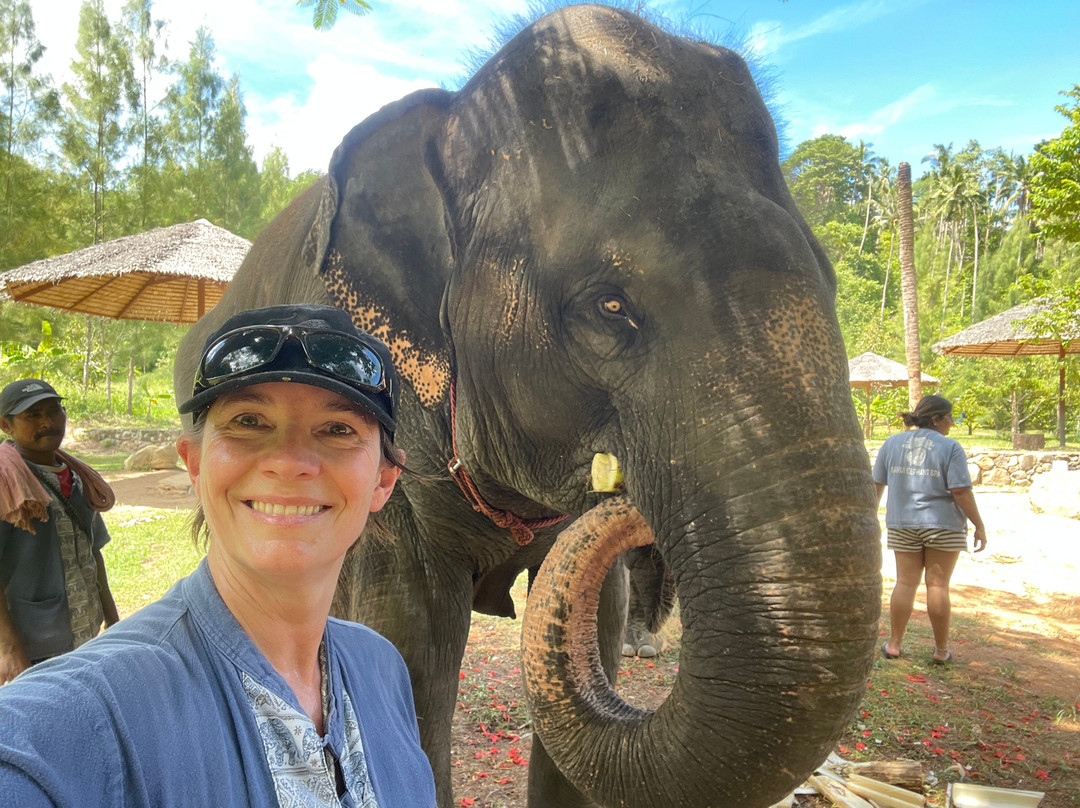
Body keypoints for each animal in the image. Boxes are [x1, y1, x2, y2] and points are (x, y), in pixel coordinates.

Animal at [174, 5, 882, 807]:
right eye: (609, 306)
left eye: (830, 279)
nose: (629, 491)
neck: (448, 120)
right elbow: (407, 649)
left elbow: (595, 617)